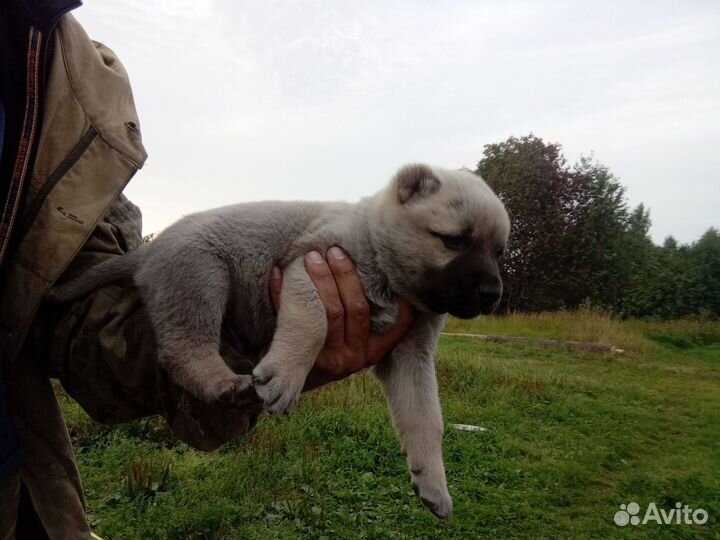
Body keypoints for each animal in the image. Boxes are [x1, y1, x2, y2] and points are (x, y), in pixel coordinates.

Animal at [49, 165, 512, 520]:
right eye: (453, 240)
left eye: (500, 251)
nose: (492, 293)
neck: (376, 249)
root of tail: (147, 252)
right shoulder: (308, 268)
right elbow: (312, 325)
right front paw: (285, 378)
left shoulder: (411, 356)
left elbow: (426, 420)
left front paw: (432, 481)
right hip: (201, 277)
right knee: (183, 349)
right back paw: (224, 384)